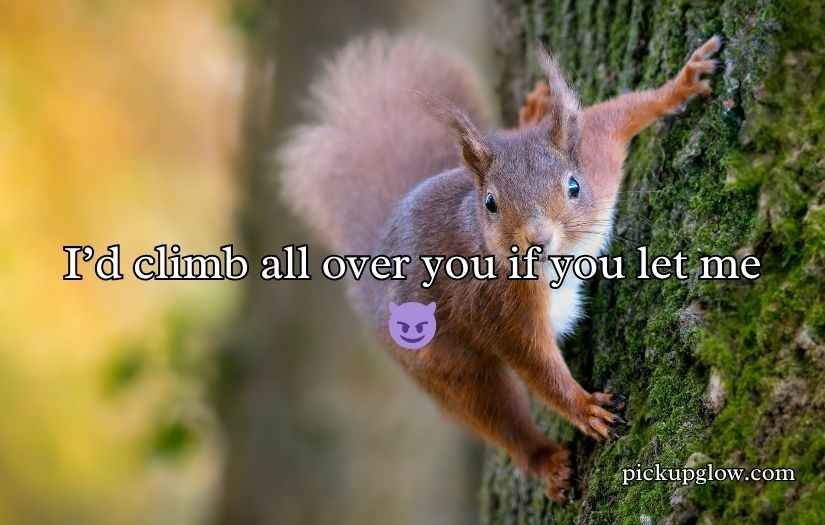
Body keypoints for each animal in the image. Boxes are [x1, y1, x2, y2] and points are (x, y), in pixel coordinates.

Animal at [280, 33, 720, 501]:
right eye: (490, 203)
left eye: (573, 186)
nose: (537, 240)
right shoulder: (497, 306)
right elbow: (536, 364)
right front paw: (585, 409)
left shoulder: (597, 151)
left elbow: (621, 111)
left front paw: (683, 82)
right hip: (443, 364)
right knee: (496, 416)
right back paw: (546, 463)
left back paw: (531, 112)